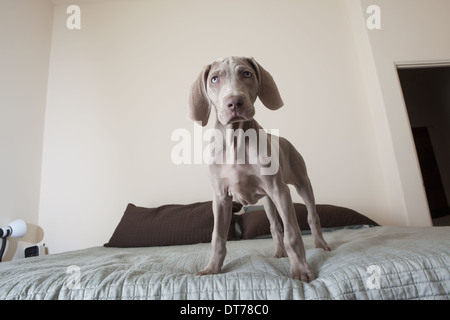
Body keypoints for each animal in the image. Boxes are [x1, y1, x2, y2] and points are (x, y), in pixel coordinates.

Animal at [188, 56, 328, 282]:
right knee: (274, 225)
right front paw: (212, 268)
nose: (234, 102)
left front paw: (301, 270)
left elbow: (292, 233)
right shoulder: (221, 197)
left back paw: (321, 244)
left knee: (311, 215)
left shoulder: (280, 190)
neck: (235, 141)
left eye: (247, 74)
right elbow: (217, 237)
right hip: (268, 201)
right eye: (214, 79)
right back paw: (279, 252)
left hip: (301, 183)